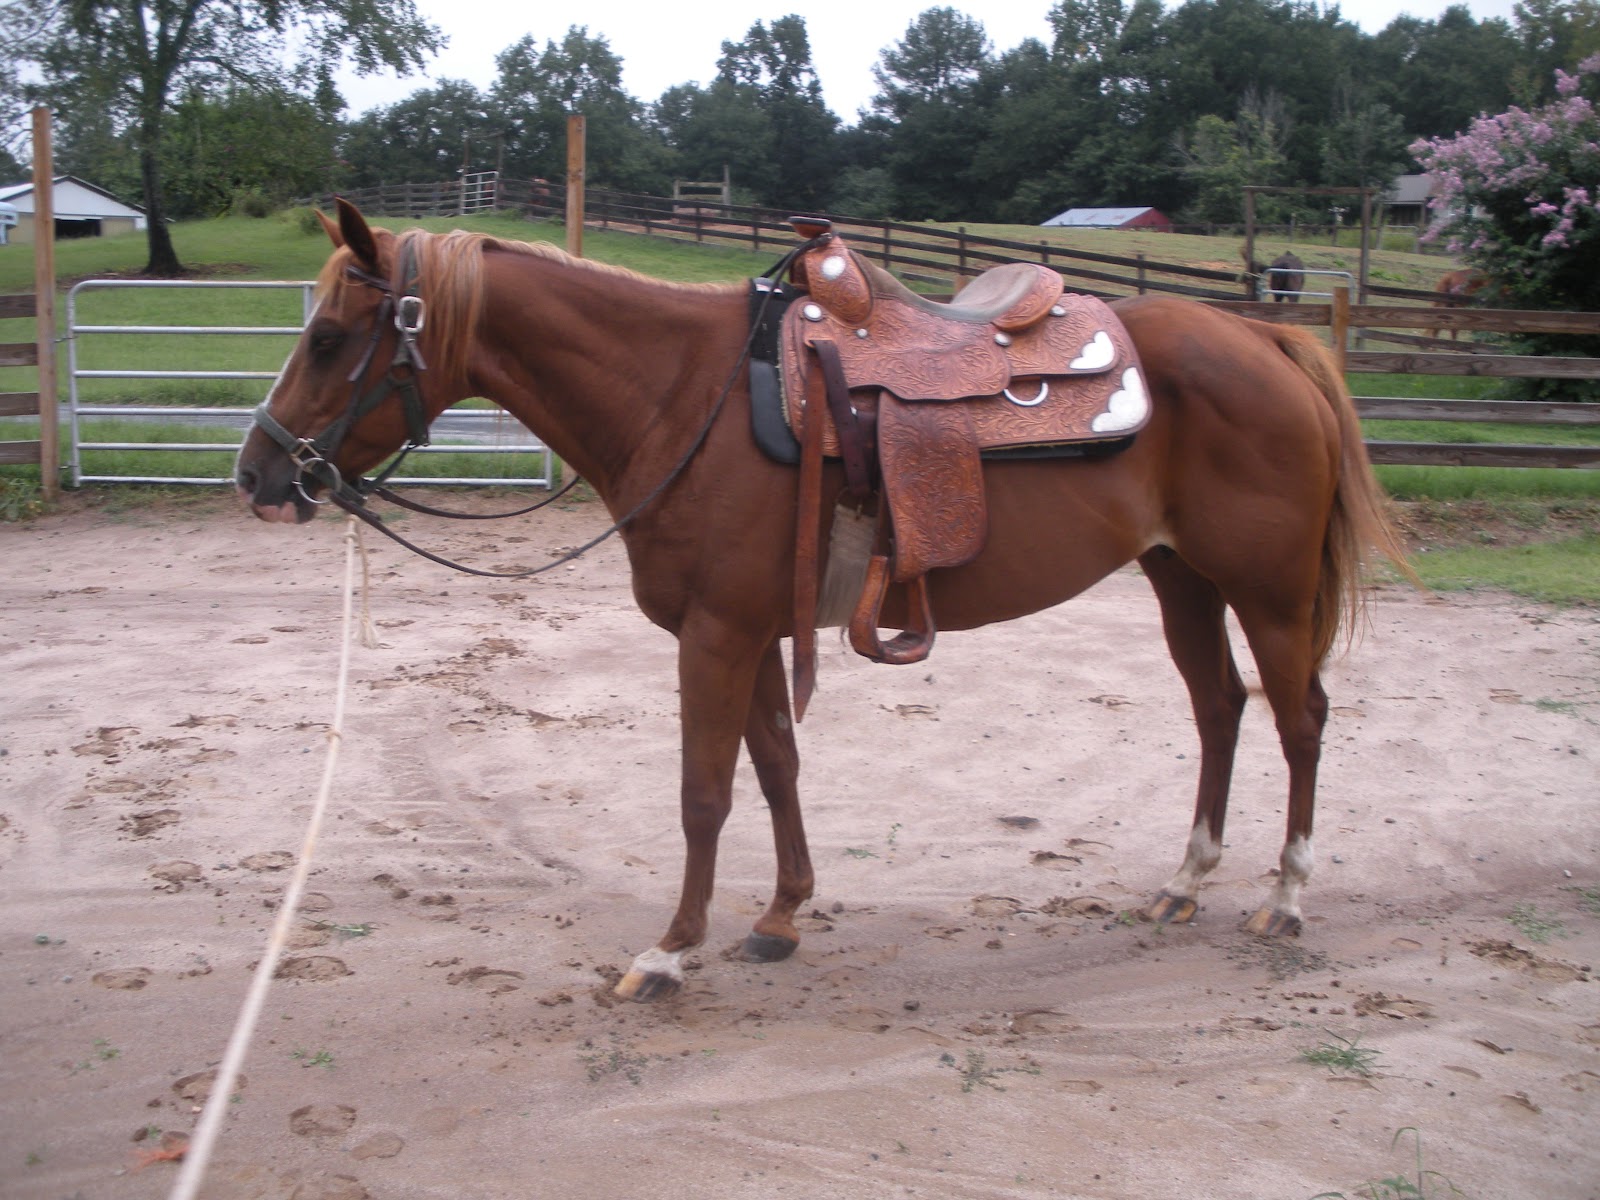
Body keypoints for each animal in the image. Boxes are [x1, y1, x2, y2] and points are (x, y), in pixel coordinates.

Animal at [235, 200, 1414, 1002]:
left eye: (329, 338)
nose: (260, 473)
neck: (683, 397)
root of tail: (1265, 338)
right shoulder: (753, 630)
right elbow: (775, 768)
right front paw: (780, 916)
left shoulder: (714, 635)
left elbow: (703, 793)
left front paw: (670, 950)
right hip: (1183, 580)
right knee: (1220, 707)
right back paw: (1186, 879)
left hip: (1265, 589)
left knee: (1301, 719)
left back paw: (1283, 898)